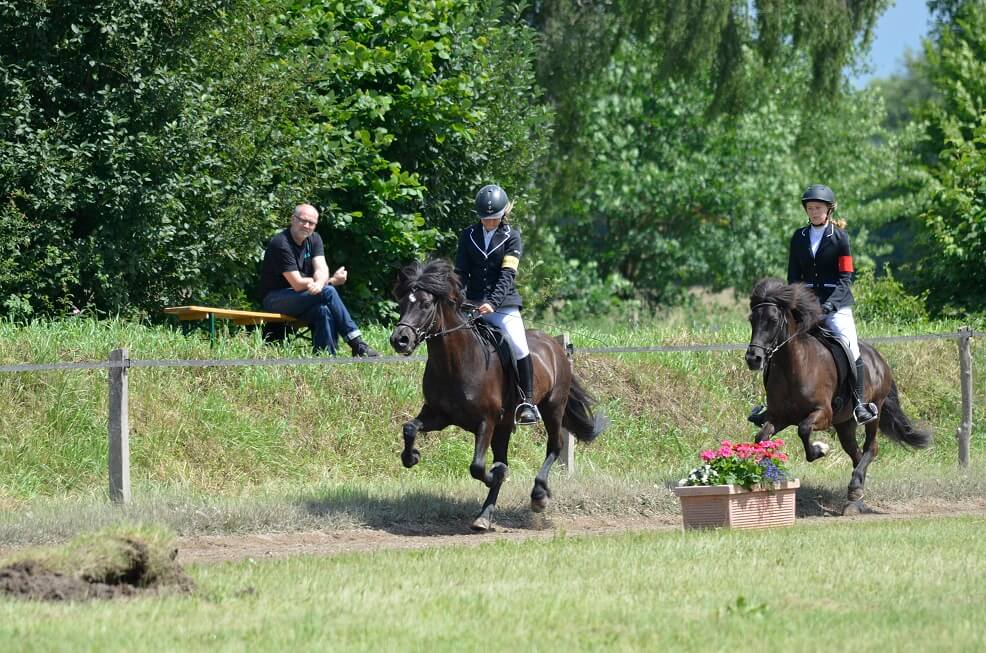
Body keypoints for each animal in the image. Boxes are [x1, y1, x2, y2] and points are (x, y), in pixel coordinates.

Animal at [388, 260, 604, 528]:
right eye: (402, 303)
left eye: (425, 304)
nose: (400, 340)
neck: (455, 362)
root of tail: (555, 345)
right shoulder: (439, 415)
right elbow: (409, 428)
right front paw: (412, 457)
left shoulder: (486, 421)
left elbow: (478, 467)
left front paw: (496, 473)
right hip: (504, 425)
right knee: (506, 456)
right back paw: (484, 516)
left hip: (552, 408)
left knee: (555, 446)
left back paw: (539, 495)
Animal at [744, 278, 932, 512]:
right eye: (752, 320)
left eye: (773, 320)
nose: (753, 359)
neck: (794, 366)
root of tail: (879, 359)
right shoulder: (779, 416)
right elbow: (761, 438)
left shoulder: (823, 414)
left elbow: (803, 429)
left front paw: (821, 449)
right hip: (844, 423)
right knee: (856, 453)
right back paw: (856, 495)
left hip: (874, 411)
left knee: (871, 447)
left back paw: (855, 491)